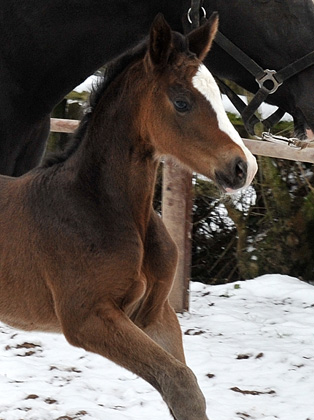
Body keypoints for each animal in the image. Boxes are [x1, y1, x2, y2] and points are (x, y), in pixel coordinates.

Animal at [0, 13, 256, 420]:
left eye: (219, 97)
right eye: (181, 102)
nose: (244, 168)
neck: (101, 208)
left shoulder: (154, 314)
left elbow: (186, 389)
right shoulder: (87, 317)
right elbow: (181, 383)